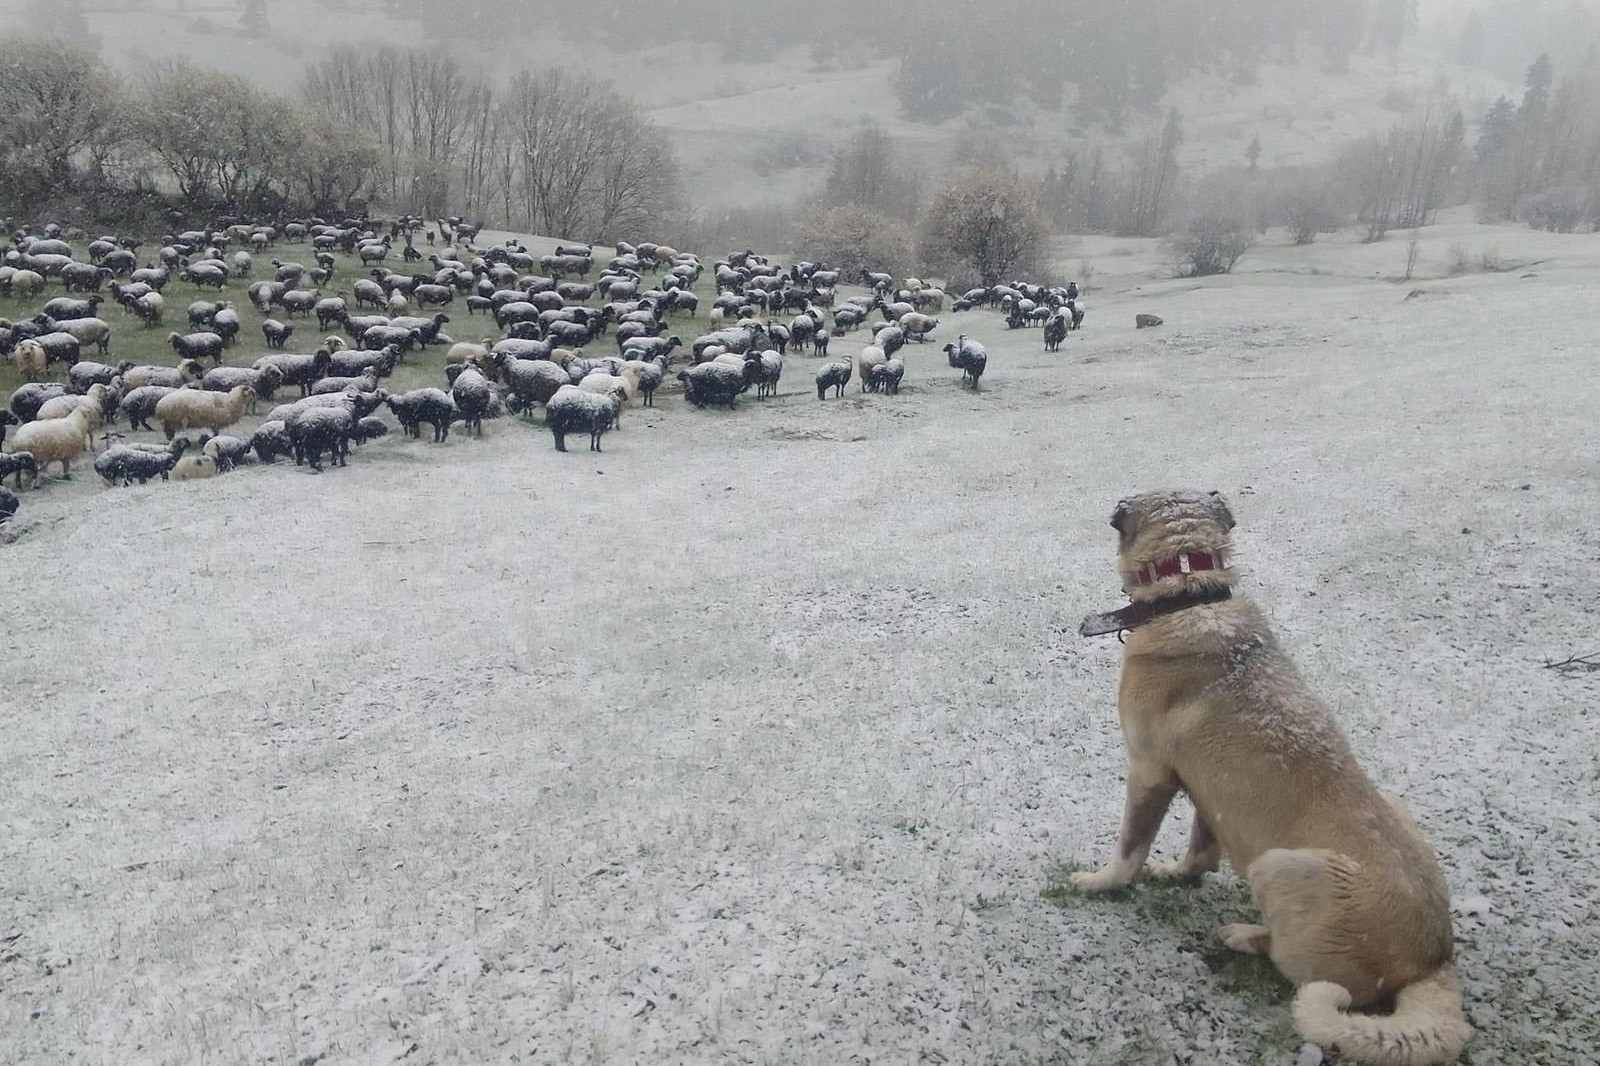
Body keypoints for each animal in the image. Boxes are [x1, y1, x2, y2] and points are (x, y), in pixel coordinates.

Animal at [1068, 489, 1465, 1062]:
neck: (1190, 596)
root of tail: (1435, 963)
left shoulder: (1148, 771)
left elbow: (1130, 848)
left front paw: (1101, 883)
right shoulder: (1210, 793)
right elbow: (1200, 849)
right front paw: (1178, 872)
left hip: (1281, 869)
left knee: (1305, 975)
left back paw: (1242, 936)